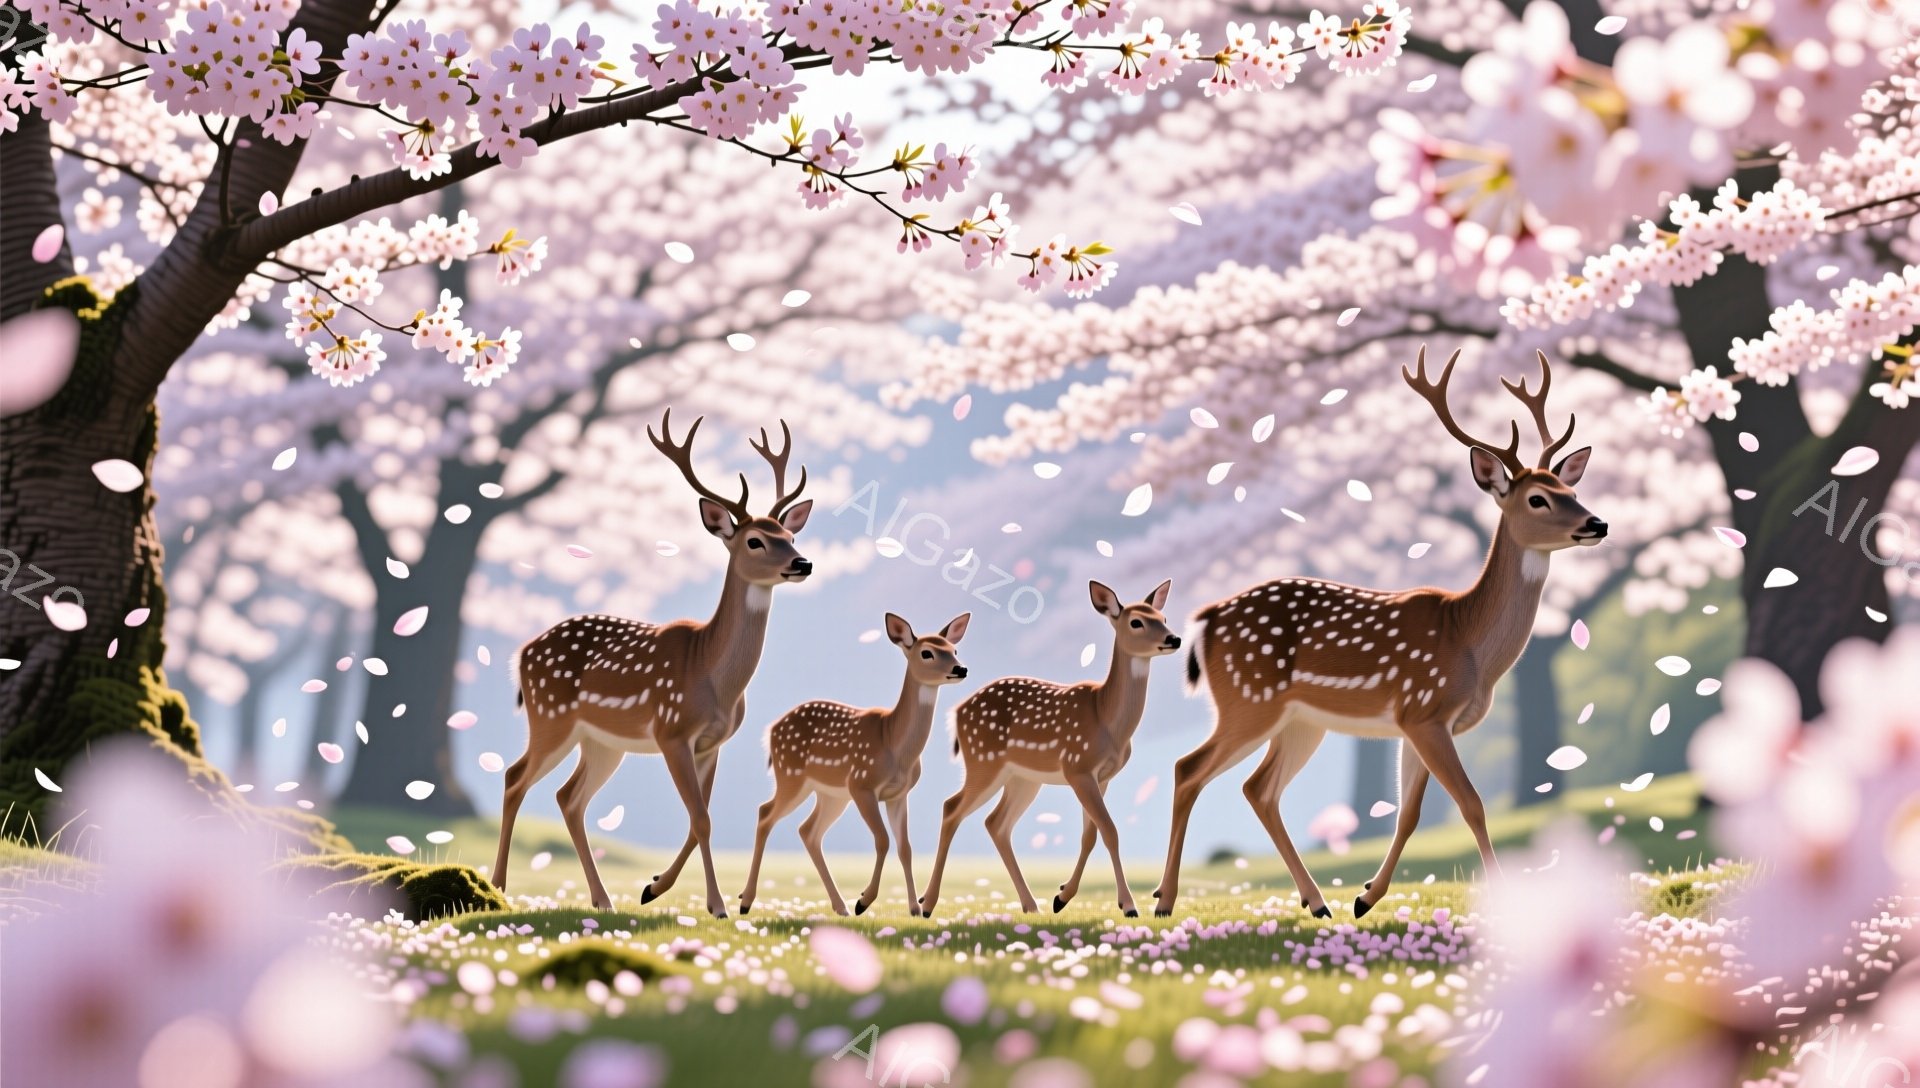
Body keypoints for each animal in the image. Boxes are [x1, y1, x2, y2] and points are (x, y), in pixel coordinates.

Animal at [491, 410, 814, 917]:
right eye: (755, 541)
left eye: (792, 534)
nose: (803, 563)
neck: (714, 677)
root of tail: (522, 652)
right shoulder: (671, 731)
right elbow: (701, 818)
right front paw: (716, 905)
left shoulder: (712, 743)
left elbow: (700, 817)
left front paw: (654, 886)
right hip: (550, 717)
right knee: (514, 777)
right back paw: (498, 887)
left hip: (602, 742)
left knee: (568, 797)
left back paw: (602, 899)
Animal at [737, 612, 972, 917]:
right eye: (927, 652)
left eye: (954, 650)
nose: (961, 668)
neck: (894, 744)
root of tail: (772, 730)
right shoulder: (862, 784)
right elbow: (882, 839)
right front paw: (864, 900)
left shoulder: (898, 794)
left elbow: (905, 847)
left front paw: (914, 908)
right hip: (792, 776)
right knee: (766, 814)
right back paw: (745, 901)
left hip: (831, 794)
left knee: (808, 831)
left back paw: (840, 907)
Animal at [919, 580, 1180, 918]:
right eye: (1136, 622)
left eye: (1163, 617)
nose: (1173, 638)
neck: (1106, 718)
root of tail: (957, 712)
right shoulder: (1078, 767)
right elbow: (1110, 831)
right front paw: (1129, 906)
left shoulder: (1102, 776)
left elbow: (1090, 835)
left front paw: (1062, 897)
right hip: (983, 762)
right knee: (952, 808)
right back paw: (927, 904)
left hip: (1023, 779)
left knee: (996, 823)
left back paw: (1031, 905)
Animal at [1151, 348, 1605, 918]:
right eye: (1538, 499)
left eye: (1573, 489)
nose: (1597, 524)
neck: (1469, 643)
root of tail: (1205, 619)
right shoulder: (1425, 708)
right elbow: (1472, 803)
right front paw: (1503, 899)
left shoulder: (1418, 722)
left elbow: (1410, 813)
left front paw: (1365, 897)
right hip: (1247, 700)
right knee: (1188, 768)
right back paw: (1163, 899)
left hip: (1299, 720)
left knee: (1258, 788)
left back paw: (1316, 901)